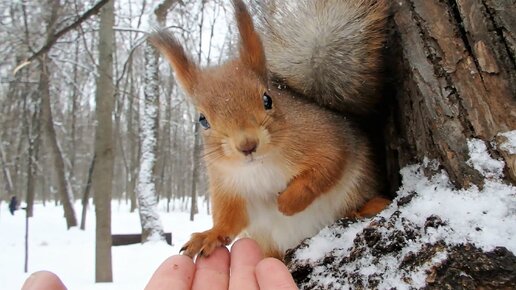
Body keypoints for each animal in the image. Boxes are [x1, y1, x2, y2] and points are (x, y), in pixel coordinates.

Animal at [149, 0, 392, 258]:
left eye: (267, 99)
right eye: (202, 119)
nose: (247, 145)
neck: (261, 166)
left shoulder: (327, 137)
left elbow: (327, 168)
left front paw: (287, 202)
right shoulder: (226, 184)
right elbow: (230, 219)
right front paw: (210, 235)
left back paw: (371, 205)